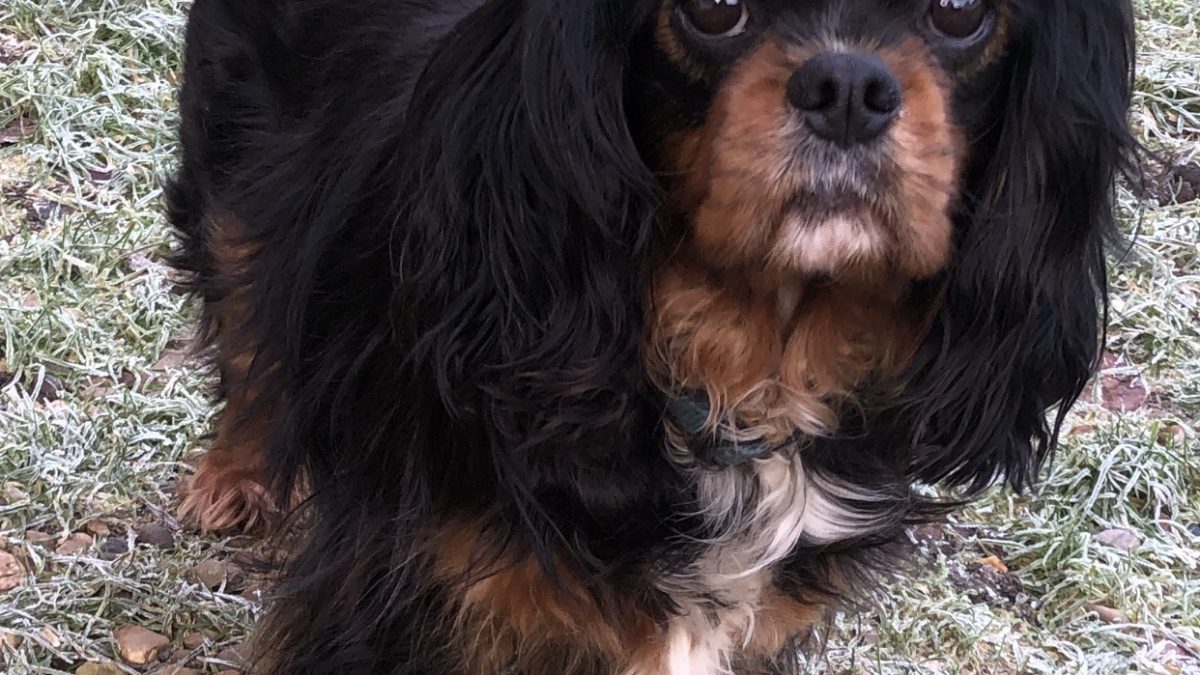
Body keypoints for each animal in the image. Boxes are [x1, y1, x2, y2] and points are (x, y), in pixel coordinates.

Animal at [166, 0, 1132, 667]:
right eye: (712, 8)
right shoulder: (402, 596)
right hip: (244, 159)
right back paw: (237, 476)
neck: (740, 381)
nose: (848, 90)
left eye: (960, 12)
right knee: (250, 304)